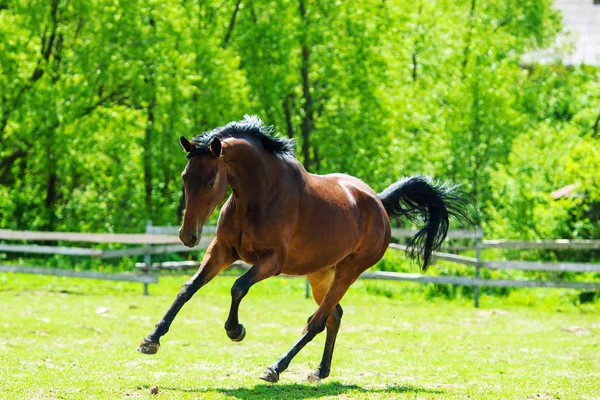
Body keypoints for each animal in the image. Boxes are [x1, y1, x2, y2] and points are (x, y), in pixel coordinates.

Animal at [136, 115, 468, 382]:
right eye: (184, 177)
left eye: (209, 182)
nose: (187, 235)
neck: (258, 195)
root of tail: (378, 202)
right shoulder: (223, 250)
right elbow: (188, 288)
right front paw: (151, 339)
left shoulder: (272, 261)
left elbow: (238, 287)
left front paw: (235, 330)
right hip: (321, 273)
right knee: (334, 316)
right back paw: (320, 371)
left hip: (348, 271)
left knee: (317, 322)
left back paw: (275, 368)